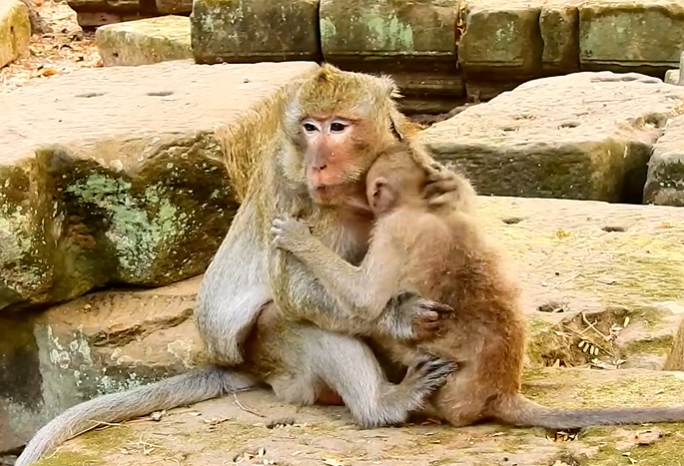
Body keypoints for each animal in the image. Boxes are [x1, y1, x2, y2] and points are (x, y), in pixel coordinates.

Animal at [15, 65, 463, 466]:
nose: (317, 163)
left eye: (337, 127)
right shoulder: (301, 203)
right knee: (290, 318)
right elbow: (297, 294)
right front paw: (398, 316)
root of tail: (243, 366)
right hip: (277, 360)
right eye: (309, 128)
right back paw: (382, 403)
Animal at [270, 142, 684, 430]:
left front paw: (298, 239)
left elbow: (366, 299)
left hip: (451, 397)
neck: (425, 205)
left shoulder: (391, 229)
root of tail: (501, 392)